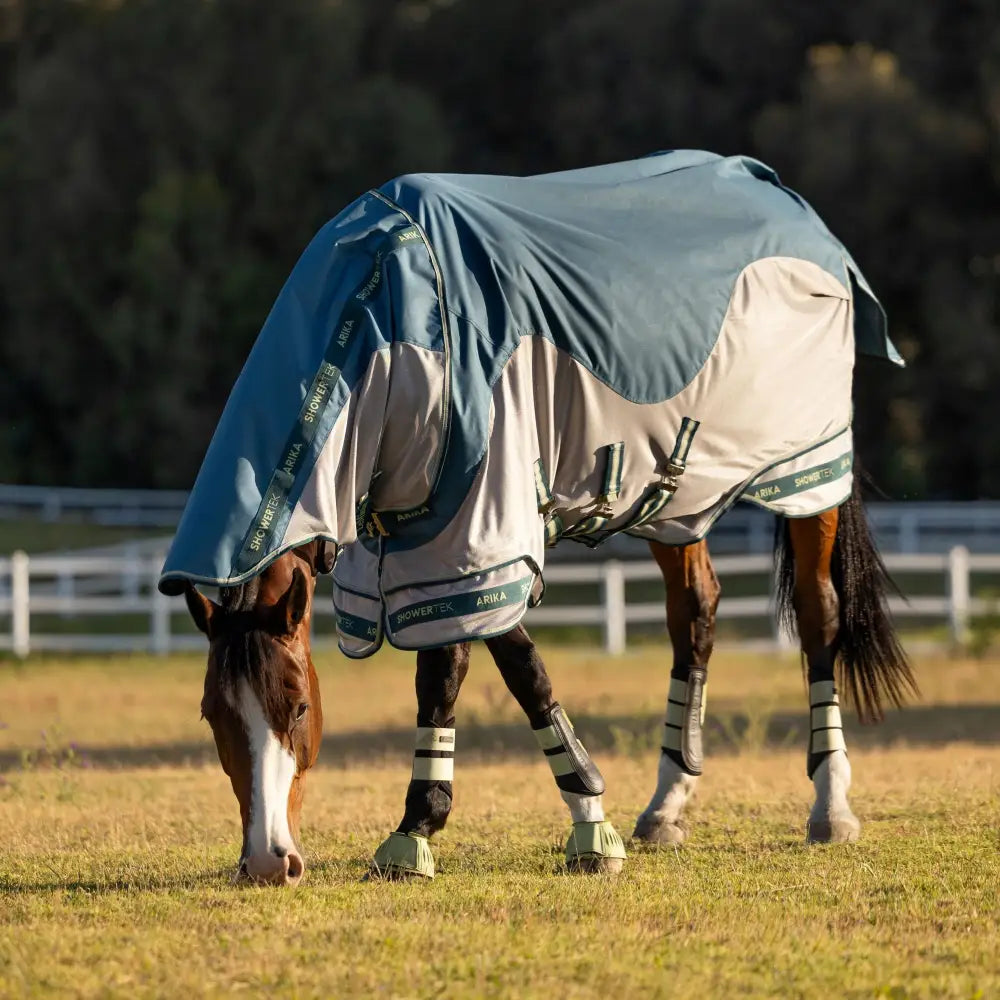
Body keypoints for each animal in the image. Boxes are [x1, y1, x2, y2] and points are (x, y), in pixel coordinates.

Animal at [162, 150, 916, 883]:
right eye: (211, 714)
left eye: (296, 704)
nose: (268, 862)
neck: (388, 326)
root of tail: (783, 196)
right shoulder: (416, 543)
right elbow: (445, 676)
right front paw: (418, 831)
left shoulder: (482, 535)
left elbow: (515, 671)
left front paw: (585, 828)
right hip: (677, 501)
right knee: (694, 616)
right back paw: (667, 805)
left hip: (808, 473)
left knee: (818, 613)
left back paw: (831, 804)